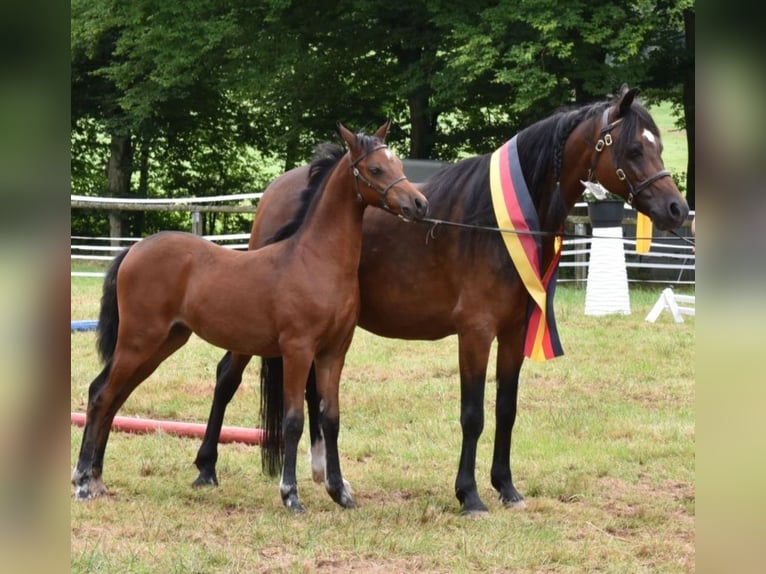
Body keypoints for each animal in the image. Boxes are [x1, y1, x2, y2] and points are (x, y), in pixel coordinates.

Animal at [72, 120, 432, 512]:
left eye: (399, 164)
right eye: (376, 168)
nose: (419, 204)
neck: (315, 259)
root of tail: (133, 250)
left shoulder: (333, 353)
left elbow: (331, 418)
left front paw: (341, 493)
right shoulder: (297, 351)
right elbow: (293, 420)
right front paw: (291, 496)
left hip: (163, 343)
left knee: (113, 396)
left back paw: (96, 479)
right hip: (139, 341)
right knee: (101, 395)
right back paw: (82, 483)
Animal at [192, 86, 688, 516]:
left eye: (658, 146)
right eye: (633, 150)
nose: (677, 210)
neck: (498, 226)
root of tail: (276, 189)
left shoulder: (513, 331)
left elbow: (505, 409)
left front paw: (506, 487)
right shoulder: (475, 331)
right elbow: (473, 414)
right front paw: (469, 494)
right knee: (226, 376)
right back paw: (206, 468)